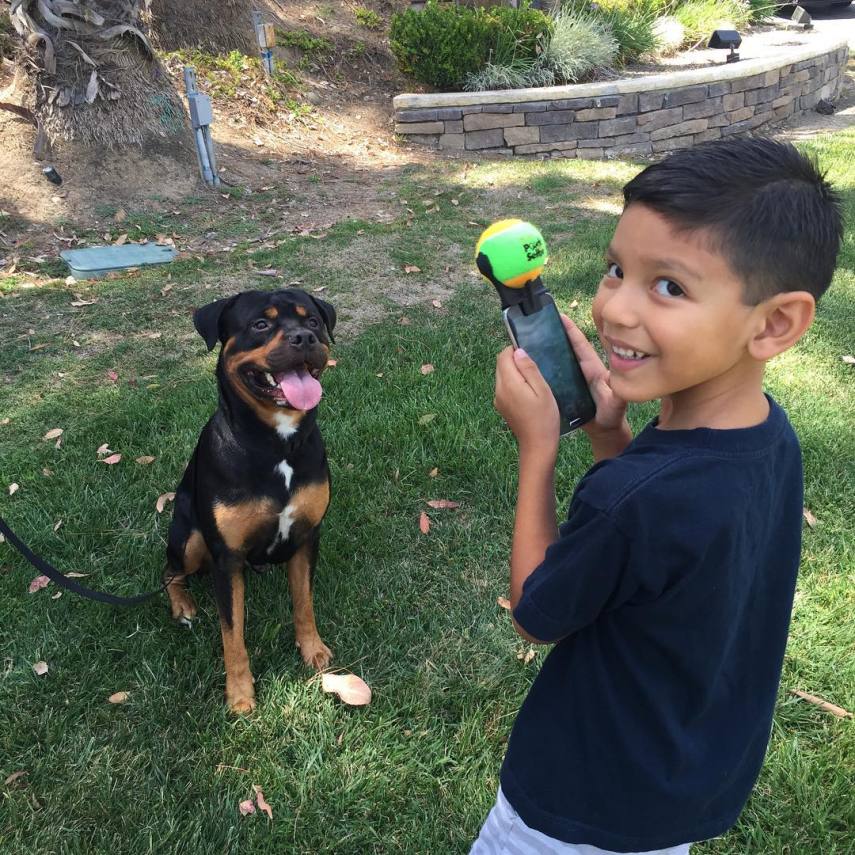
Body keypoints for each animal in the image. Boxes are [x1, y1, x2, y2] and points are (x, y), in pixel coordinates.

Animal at [164, 290, 338, 716]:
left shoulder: (307, 536)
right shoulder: (226, 558)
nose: (304, 339)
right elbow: (233, 635)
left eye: (313, 322)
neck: (278, 444)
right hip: (190, 537)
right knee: (169, 571)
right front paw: (240, 694)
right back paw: (182, 605)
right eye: (260, 324)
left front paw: (312, 649)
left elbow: (303, 603)